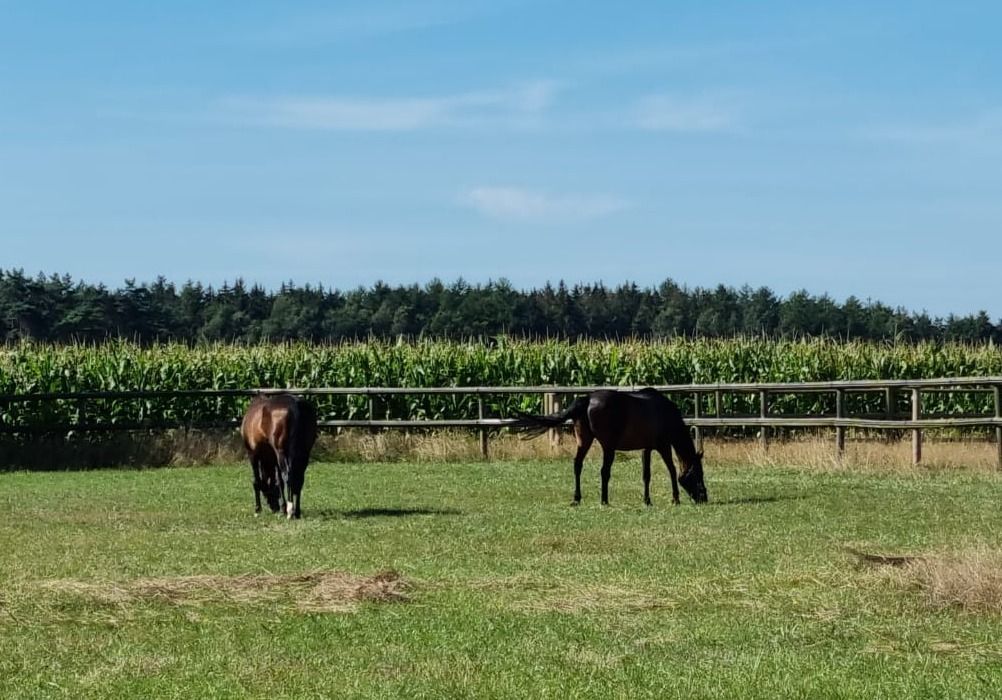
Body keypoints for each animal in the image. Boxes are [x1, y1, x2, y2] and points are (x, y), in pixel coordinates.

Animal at [510, 388, 708, 506]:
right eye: (698, 474)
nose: (703, 498)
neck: (665, 413)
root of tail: (588, 399)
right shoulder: (663, 445)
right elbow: (672, 470)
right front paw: (675, 499)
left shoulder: (647, 448)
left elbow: (646, 475)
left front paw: (647, 501)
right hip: (608, 446)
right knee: (604, 471)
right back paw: (604, 500)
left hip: (584, 441)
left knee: (577, 465)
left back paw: (577, 499)